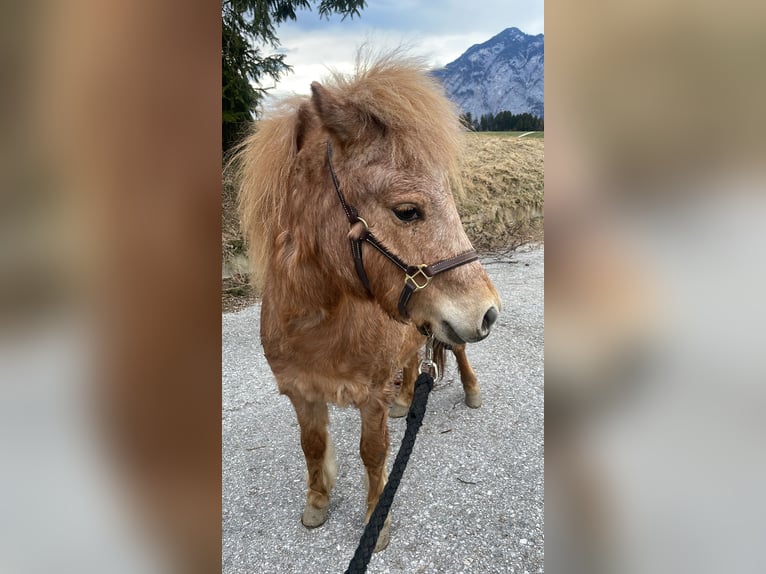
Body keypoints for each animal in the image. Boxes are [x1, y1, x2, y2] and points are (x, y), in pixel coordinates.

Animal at [236, 53, 501, 552]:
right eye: (407, 211)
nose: (489, 311)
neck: (315, 325)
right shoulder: (301, 393)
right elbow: (312, 446)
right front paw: (317, 503)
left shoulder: (370, 398)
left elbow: (373, 453)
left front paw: (376, 520)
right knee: (414, 357)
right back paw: (406, 398)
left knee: (455, 351)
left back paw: (470, 391)